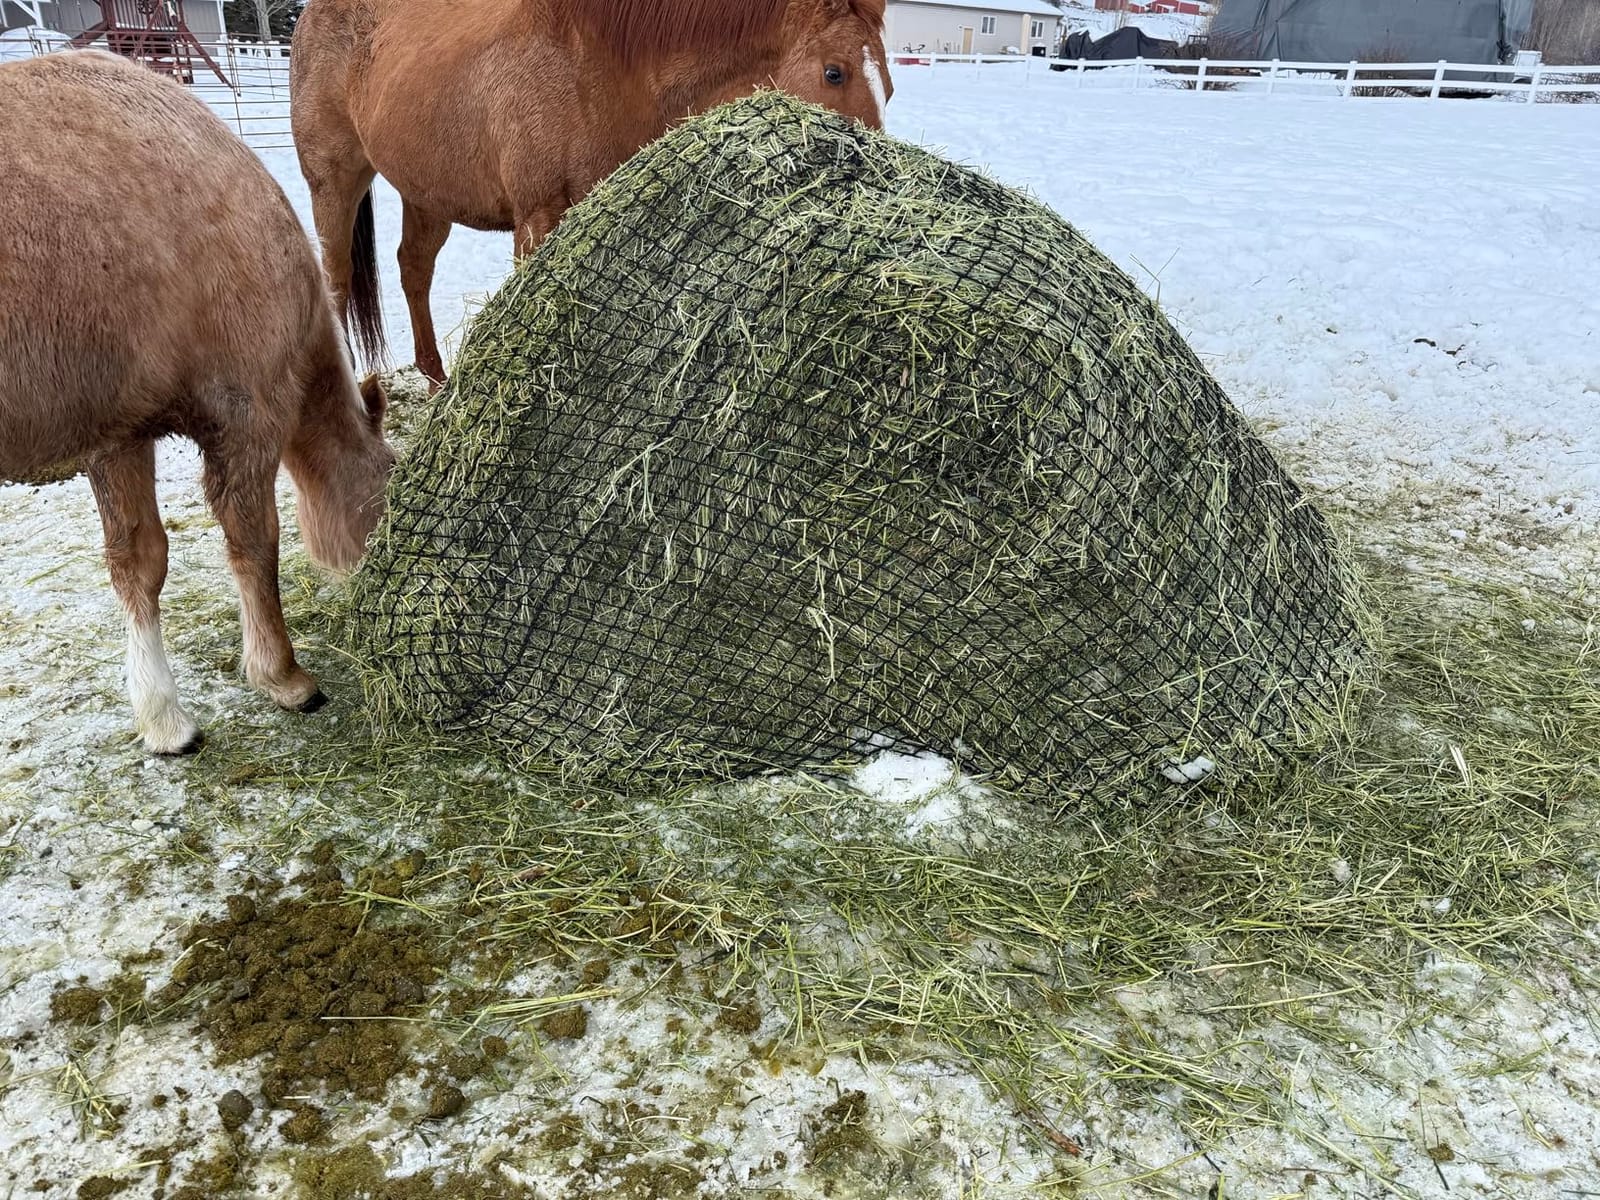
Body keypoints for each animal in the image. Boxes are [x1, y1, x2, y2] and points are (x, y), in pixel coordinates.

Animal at [0, 51, 395, 755]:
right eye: (391, 477)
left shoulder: (118, 436)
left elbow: (138, 563)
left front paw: (163, 718)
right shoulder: (246, 419)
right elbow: (254, 544)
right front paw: (284, 676)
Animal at [289, 0, 892, 385]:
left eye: (886, 84)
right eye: (835, 73)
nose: (875, 176)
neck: (599, 64)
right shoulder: (538, 219)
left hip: (427, 192)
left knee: (414, 271)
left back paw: (438, 382)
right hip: (334, 181)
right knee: (337, 278)